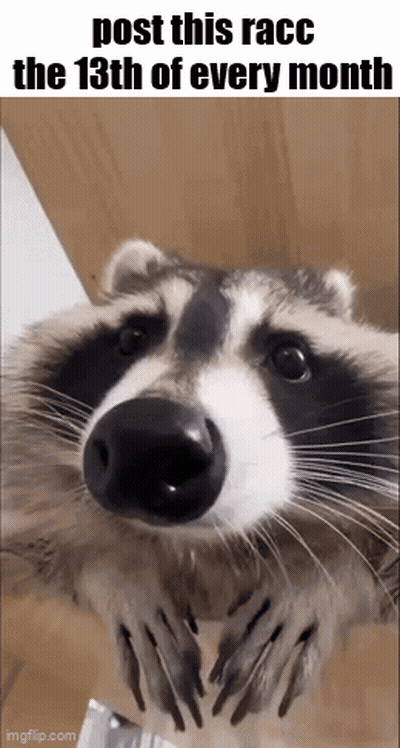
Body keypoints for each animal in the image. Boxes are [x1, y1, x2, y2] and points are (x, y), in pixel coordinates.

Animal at [2, 240, 398, 736]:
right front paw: (113, 564)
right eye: (132, 338)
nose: (147, 441)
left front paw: (326, 571)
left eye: (291, 359)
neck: (205, 548)